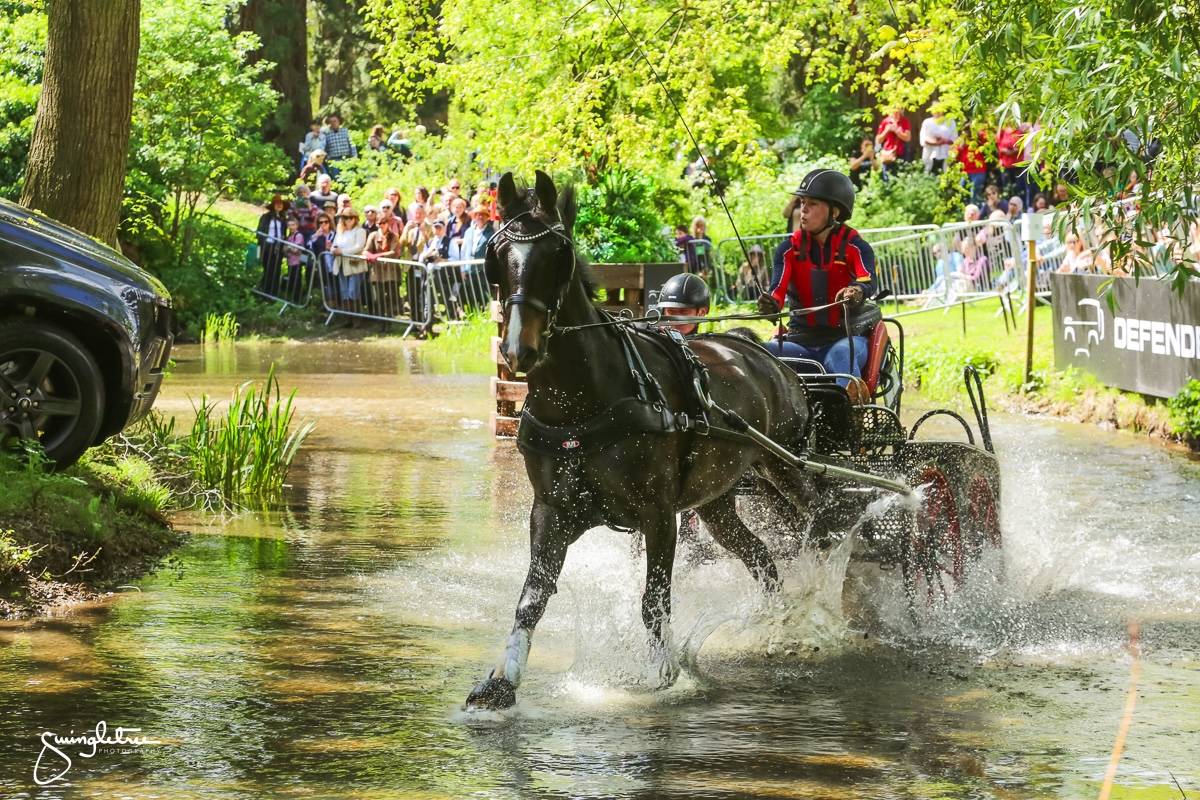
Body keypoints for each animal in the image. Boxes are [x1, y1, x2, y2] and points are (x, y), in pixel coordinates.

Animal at [465, 171, 812, 710]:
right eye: (498, 255)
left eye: (559, 254)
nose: (519, 348)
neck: (583, 401)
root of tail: (759, 351)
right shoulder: (550, 512)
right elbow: (532, 598)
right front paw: (502, 680)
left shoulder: (658, 513)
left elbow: (654, 599)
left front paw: (663, 674)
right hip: (717, 502)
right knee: (762, 559)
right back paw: (777, 624)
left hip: (786, 466)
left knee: (822, 517)